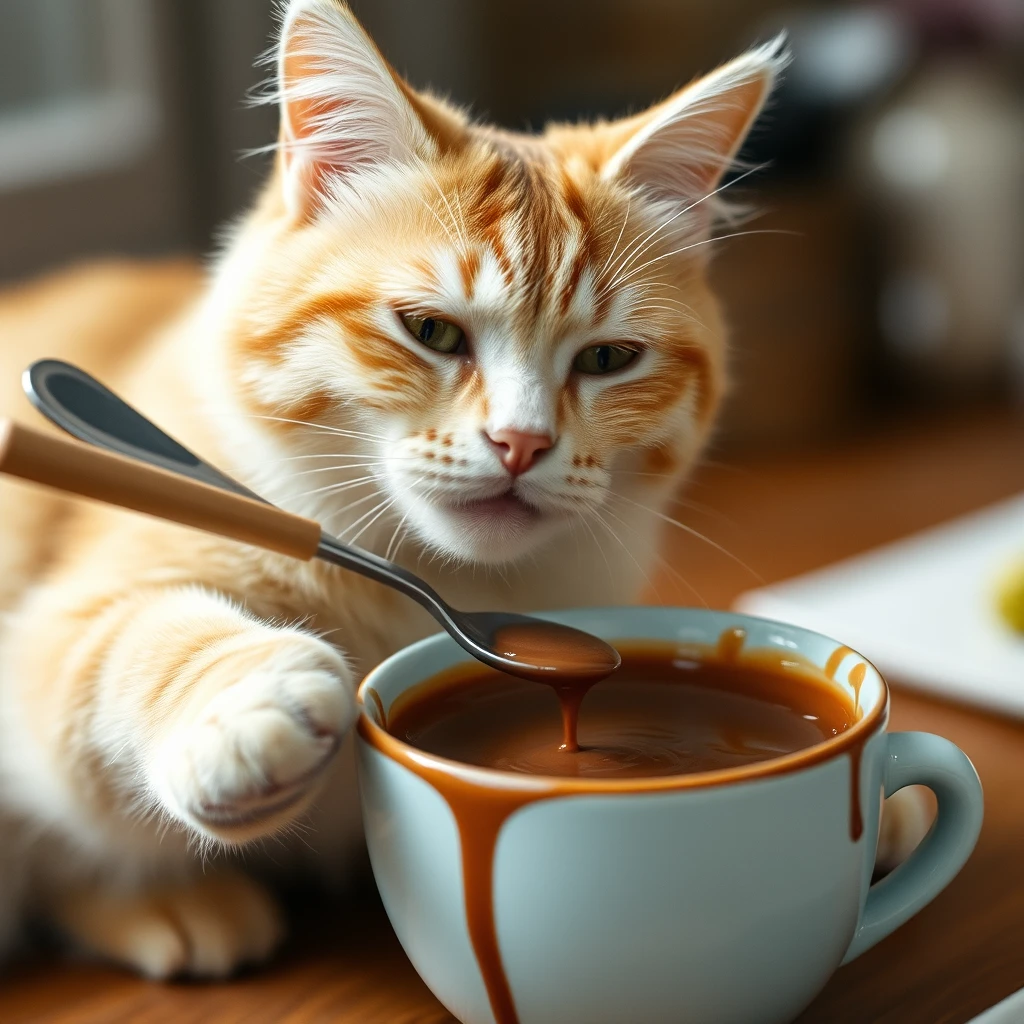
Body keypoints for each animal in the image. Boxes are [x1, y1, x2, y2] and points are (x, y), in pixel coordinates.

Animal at [0, 0, 917, 978]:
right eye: (432, 332)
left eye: (607, 359)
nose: (522, 442)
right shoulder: (60, 622)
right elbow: (126, 647)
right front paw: (249, 703)